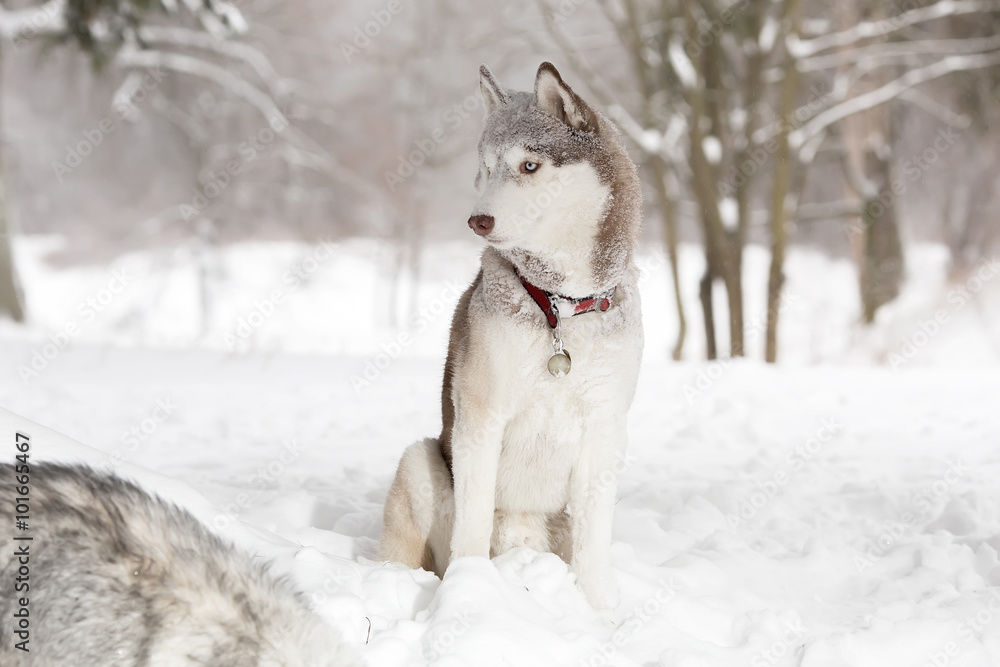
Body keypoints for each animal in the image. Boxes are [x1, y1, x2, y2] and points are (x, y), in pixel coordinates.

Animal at [378, 60, 644, 608]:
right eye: (486, 167)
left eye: (529, 166)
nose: (478, 219)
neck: (560, 307)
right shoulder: (482, 416)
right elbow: (474, 523)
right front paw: (469, 596)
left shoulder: (605, 427)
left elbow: (593, 544)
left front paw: (601, 611)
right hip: (420, 462)